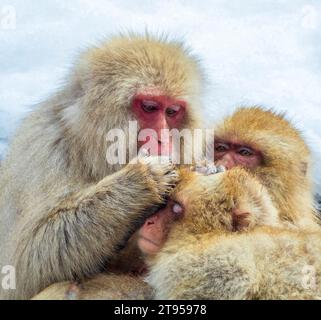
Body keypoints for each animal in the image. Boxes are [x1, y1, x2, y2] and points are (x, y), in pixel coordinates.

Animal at [0, 33, 204, 298]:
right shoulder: (43, 149)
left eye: (172, 111)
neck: (85, 146)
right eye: (149, 107)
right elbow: (26, 265)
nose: (163, 139)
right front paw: (143, 178)